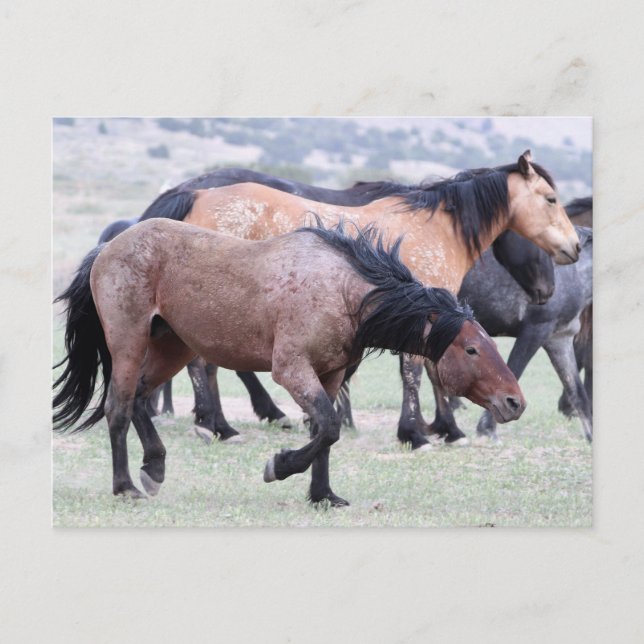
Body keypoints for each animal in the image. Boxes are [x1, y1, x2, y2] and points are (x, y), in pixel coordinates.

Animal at [53, 219, 526, 506]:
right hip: (128, 343)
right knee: (117, 407)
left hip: (171, 348)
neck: (345, 295)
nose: (515, 402)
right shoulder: (291, 370)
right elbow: (329, 427)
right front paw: (278, 467)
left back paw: (154, 468)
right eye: (471, 349)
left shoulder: (329, 376)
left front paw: (323, 496)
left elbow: (325, 432)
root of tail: (107, 248)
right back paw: (126, 486)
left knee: (137, 399)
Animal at [453, 226, 593, 442]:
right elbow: (513, 371)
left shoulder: (559, 339)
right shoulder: (536, 331)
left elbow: (578, 392)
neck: (573, 274)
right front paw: (487, 428)